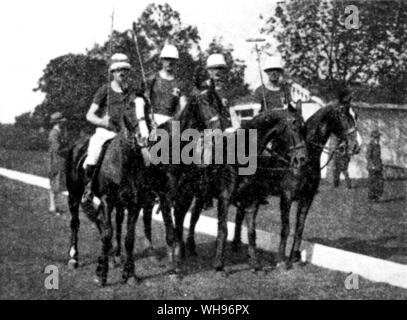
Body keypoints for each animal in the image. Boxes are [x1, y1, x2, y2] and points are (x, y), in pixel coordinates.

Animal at [231, 100, 362, 270]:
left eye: (356, 115)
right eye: (344, 115)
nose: (356, 146)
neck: (305, 161)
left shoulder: (307, 197)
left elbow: (300, 227)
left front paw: (295, 256)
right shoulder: (286, 197)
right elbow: (285, 228)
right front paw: (281, 259)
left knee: (242, 214)